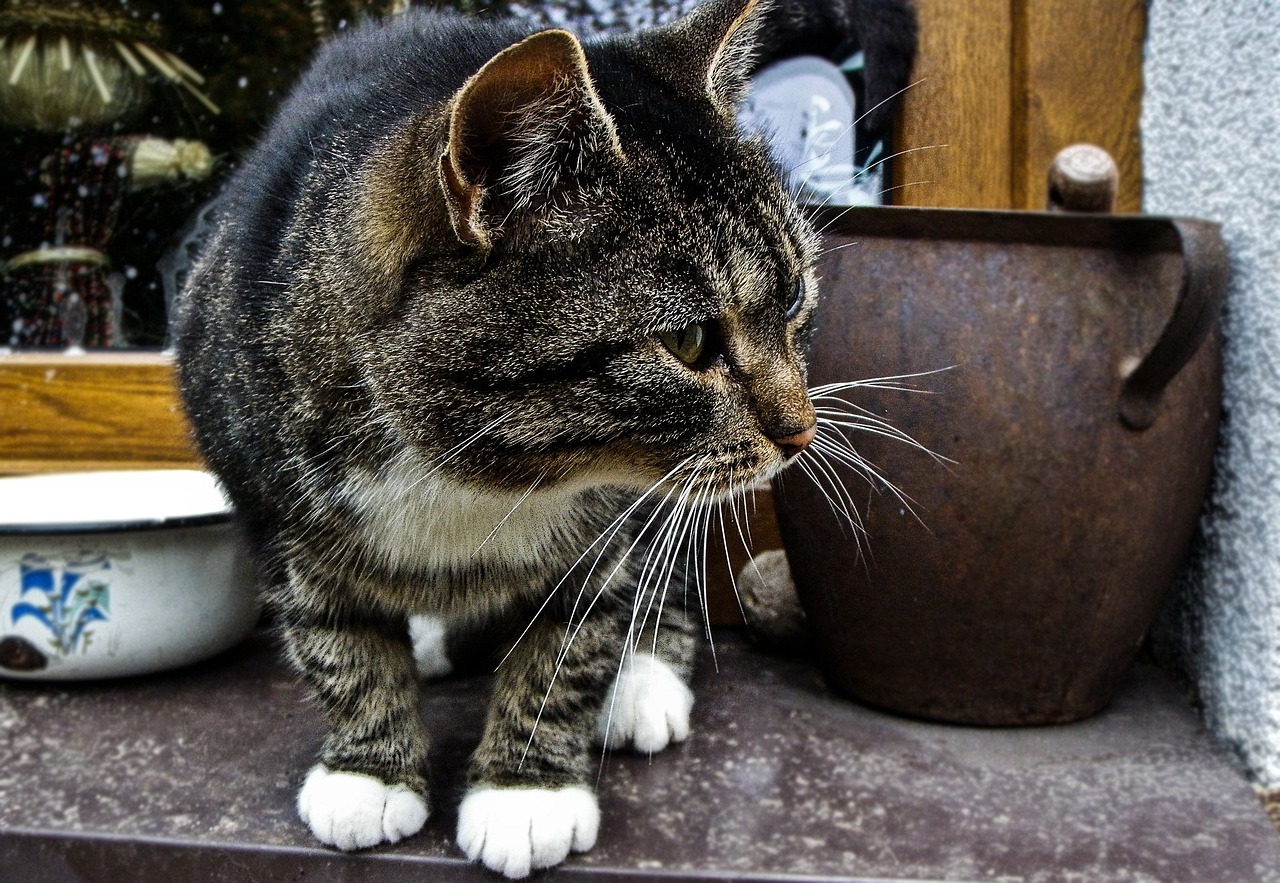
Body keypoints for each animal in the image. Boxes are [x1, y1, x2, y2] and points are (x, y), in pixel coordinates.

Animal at [175, 0, 916, 875]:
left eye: (796, 296)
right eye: (692, 340)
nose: (801, 432)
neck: (474, 475)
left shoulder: (608, 530)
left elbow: (571, 645)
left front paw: (525, 791)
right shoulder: (273, 508)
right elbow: (336, 641)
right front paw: (368, 771)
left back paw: (641, 679)